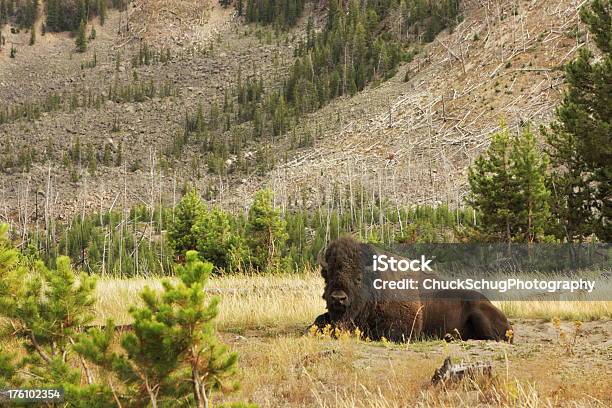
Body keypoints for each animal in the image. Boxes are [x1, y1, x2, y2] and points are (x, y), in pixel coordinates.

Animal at [314, 234, 512, 342]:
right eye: (327, 275)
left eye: (358, 278)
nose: (338, 298)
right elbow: (318, 321)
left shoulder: (403, 328)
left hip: (480, 315)